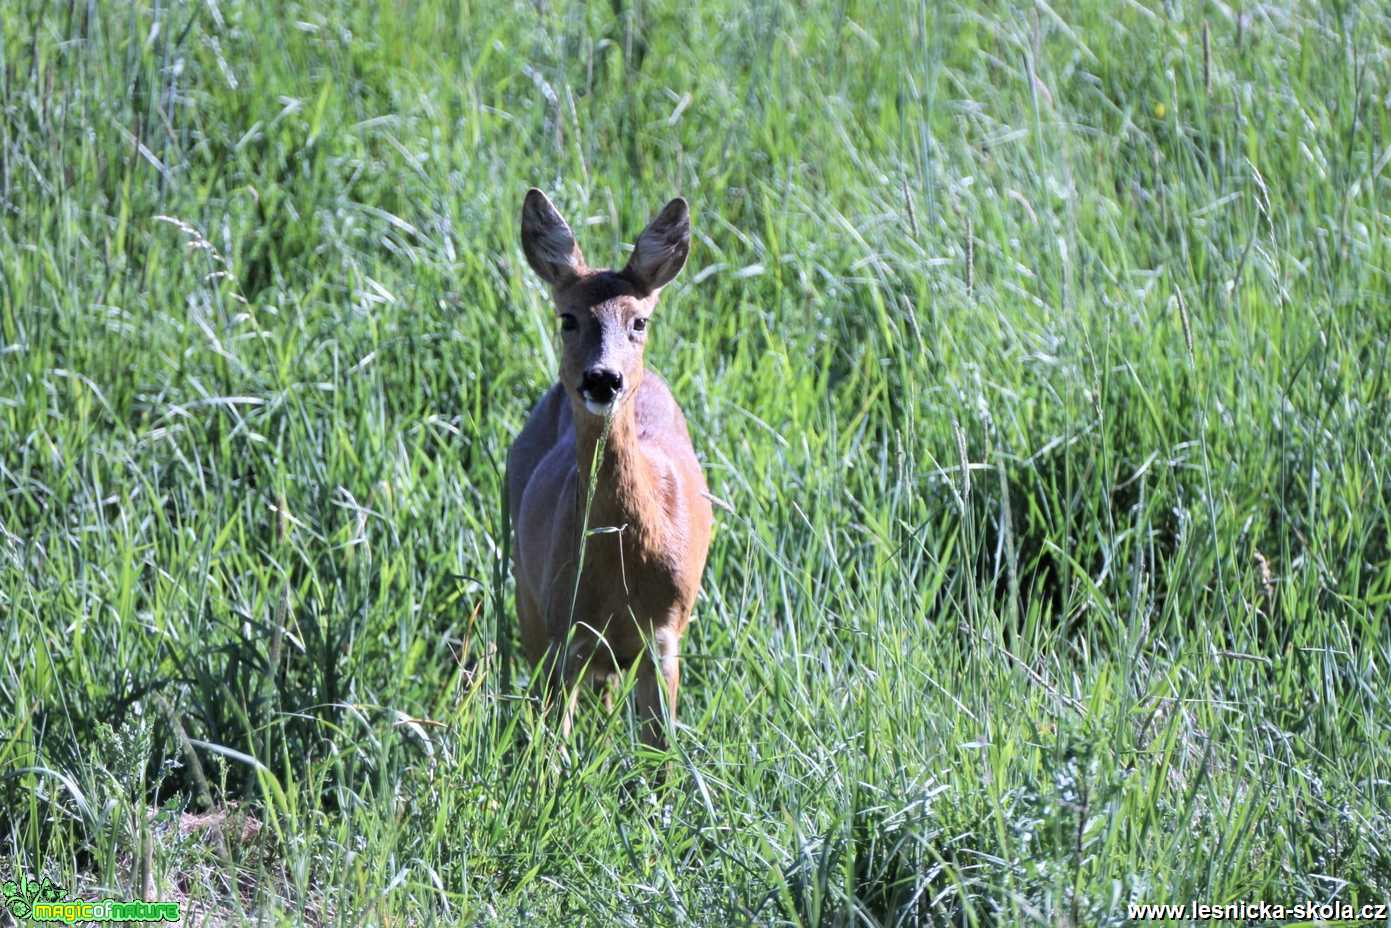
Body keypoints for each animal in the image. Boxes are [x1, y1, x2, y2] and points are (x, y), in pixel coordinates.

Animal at [506, 186, 712, 745]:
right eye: (567, 318)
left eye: (639, 321)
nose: (603, 378)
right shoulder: (564, 634)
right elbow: (553, 749)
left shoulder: (664, 638)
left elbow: (661, 754)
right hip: (524, 590)